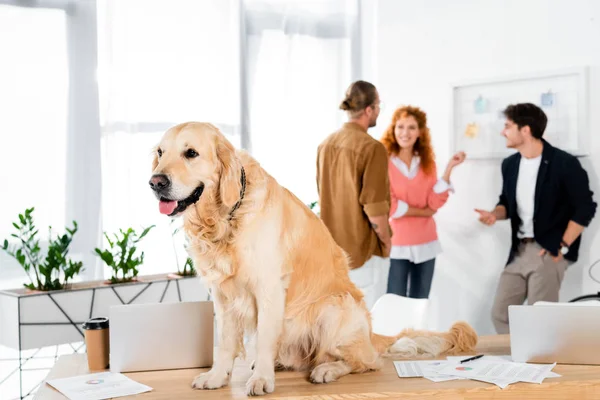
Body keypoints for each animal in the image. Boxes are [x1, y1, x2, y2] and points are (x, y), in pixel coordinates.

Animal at [150, 122, 478, 396]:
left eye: (191, 153)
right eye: (160, 152)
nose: (155, 182)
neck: (225, 218)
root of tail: (372, 334)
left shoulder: (269, 288)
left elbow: (265, 338)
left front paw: (261, 380)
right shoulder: (222, 293)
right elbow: (227, 342)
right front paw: (217, 377)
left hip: (334, 308)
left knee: (364, 362)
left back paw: (325, 369)